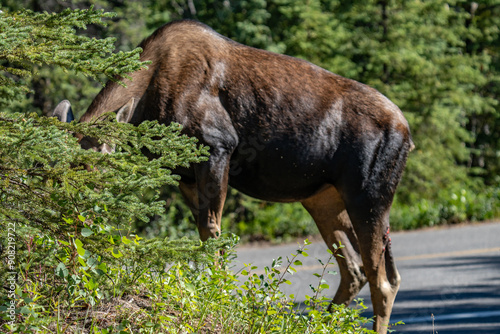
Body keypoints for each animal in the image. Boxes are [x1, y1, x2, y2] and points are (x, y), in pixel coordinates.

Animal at [53, 19, 414, 332]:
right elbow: (204, 235)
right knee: (356, 269)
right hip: (323, 199)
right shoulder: (184, 176)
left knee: (383, 280)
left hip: (368, 196)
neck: (147, 107)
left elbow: (213, 234)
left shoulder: (216, 146)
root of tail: (408, 134)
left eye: (100, 173)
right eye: (55, 177)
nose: (74, 221)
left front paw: (217, 294)